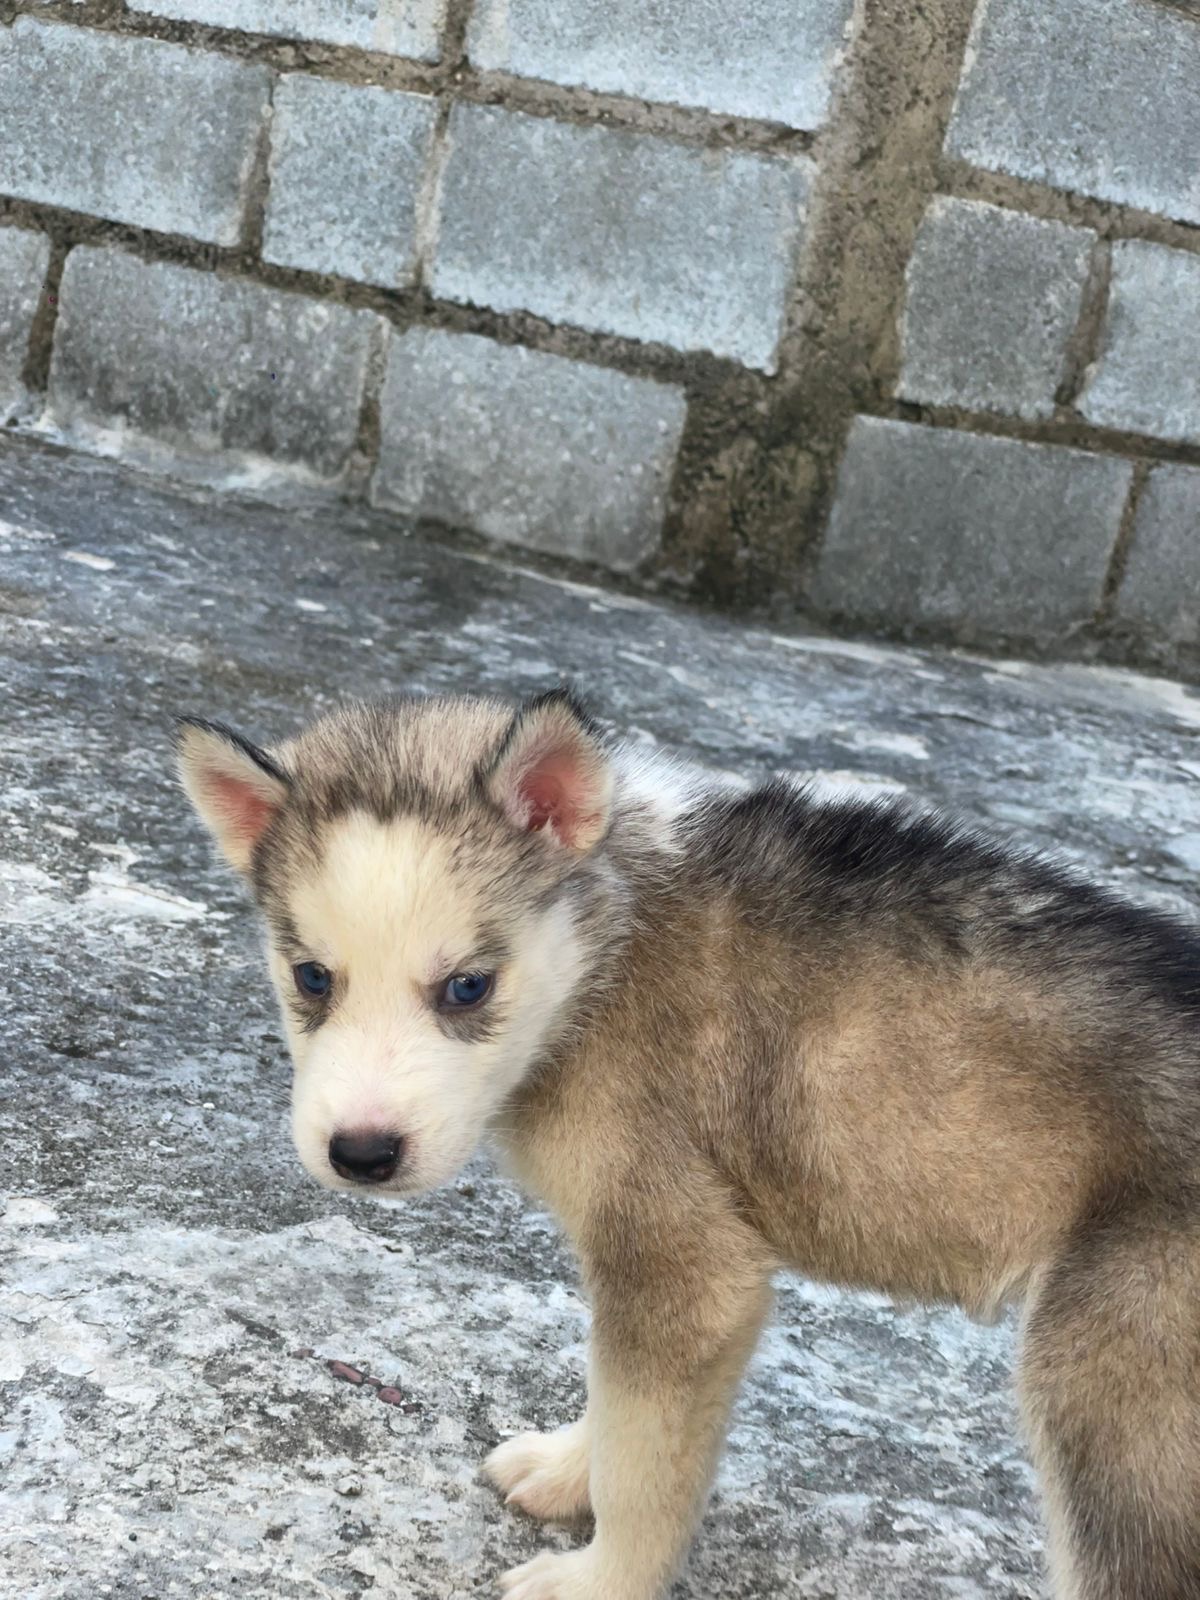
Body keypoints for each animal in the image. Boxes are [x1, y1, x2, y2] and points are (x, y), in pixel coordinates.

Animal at [176, 694, 1200, 1600]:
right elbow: (615, 1404)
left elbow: (646, 1467)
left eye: (468, 987)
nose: (361, 1154)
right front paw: (569, 1467)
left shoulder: (686, 1270)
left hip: (1113, 1399)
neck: (608, 948)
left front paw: (600, 1581)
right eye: (312, 977)